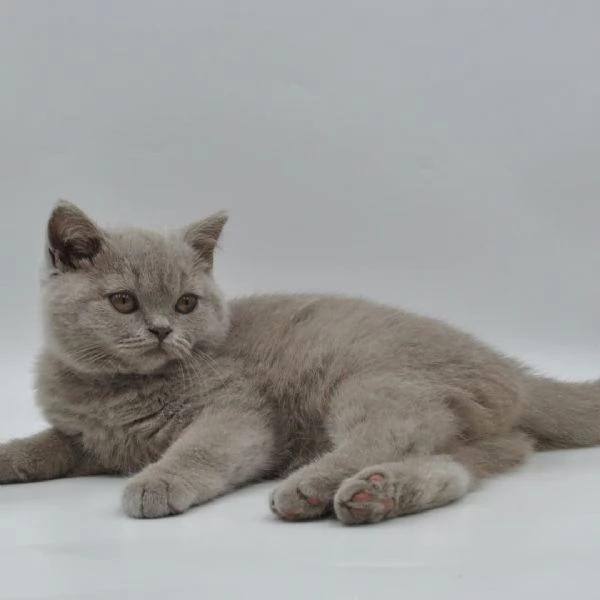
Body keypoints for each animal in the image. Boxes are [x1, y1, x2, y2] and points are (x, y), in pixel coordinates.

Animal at [1, 203, 600, 524]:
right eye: (124, 301)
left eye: (186, 303)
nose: (162, 329)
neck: (114, 394)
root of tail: (513, 371)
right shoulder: (84, 439)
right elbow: (43, 445)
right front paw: (9, 456)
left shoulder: (238, 412)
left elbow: (202, 449)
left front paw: (159, 482)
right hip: (487, 437)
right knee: (451, 468)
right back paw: (374, 495)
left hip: (377, 380)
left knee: (394, 430)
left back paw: (312, 487)